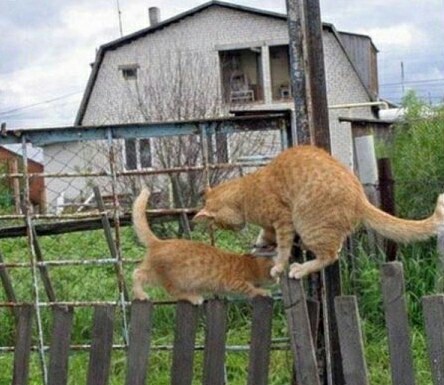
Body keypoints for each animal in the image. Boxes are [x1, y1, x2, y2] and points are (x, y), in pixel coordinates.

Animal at [130, 187, 272, 304]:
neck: (250, 264)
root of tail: (159, 242)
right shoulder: (235, 282)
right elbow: (249, 289)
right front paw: (261, 292)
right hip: (174, 278)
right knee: (172, 290)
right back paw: (191, 296)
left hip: (154, 272)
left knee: (137, 273)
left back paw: (139, 294)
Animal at [195, 144, 444, 280]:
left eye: (221, 225)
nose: (231, 229)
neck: (246, 191)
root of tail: (360, 197)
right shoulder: (271, 225)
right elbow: (264, 236)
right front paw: (258, 248)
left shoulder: (283, 220)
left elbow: (283, 248)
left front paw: (278, 265)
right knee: (336, 247)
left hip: (307, 224)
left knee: (330, 256)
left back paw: (300, 269)